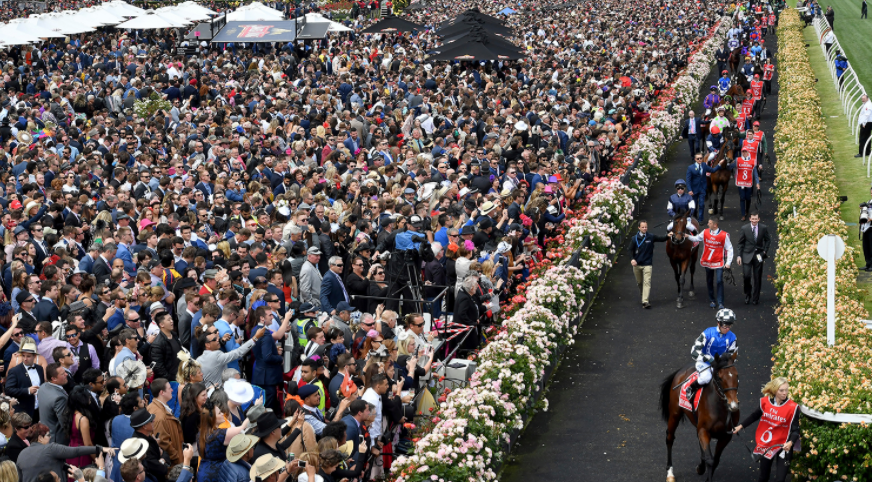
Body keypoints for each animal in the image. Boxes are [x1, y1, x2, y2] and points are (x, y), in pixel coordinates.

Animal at [660, 352, 740, 482]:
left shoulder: (726, 436)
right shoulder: (704, 430)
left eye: (737, 376)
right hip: (674, 414)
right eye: (720, 378)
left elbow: (715, 460)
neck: (720, 408)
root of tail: (681, 370)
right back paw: (670, 473)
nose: (733, 405)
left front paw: (702, 469)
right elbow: (710, 459)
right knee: (670, 438)